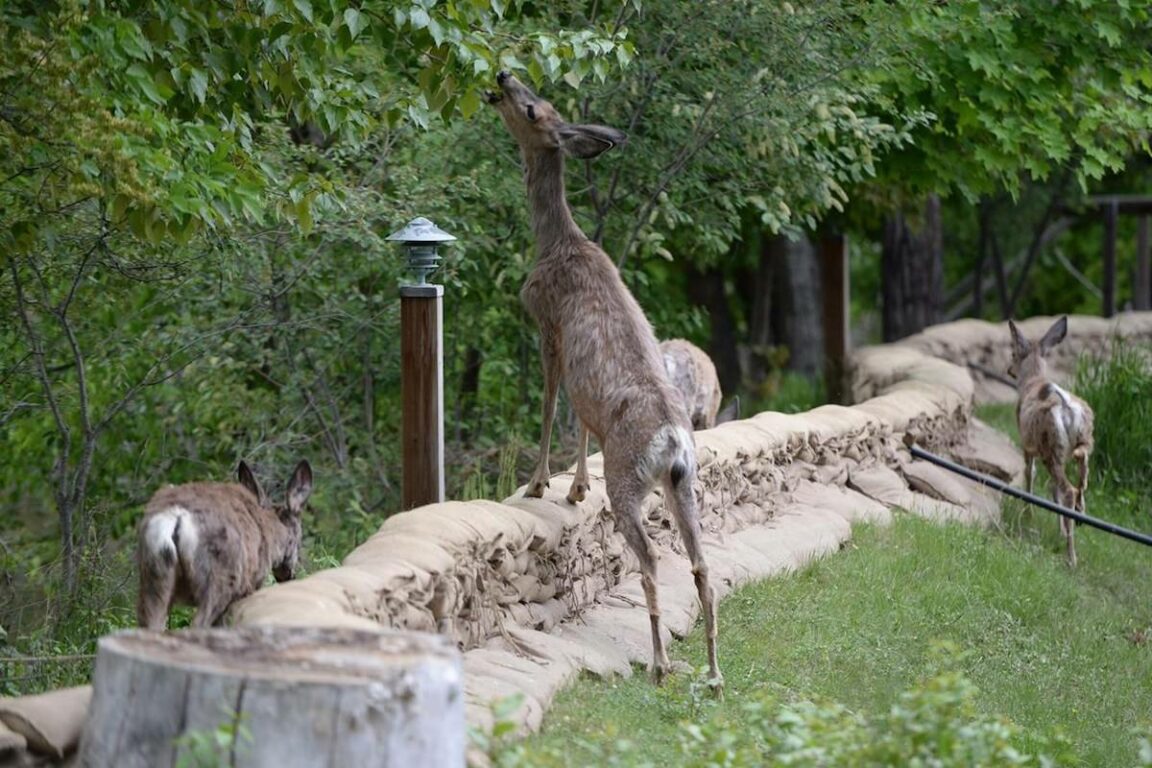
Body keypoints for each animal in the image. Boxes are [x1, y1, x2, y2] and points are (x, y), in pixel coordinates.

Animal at [137, 455, 313, 630]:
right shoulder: (251, 584)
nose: (291, 576)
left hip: (153, 577)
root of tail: (175, 516)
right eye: (298, 541)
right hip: (221, 579)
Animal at [483, 70, 718, 690]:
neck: (558, 242)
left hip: (631, 478)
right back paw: (713, 673)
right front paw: (574, 488)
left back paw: (660, 663)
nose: (503, 75)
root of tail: (673, 441)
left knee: (653, 559)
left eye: (534, 108)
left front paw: (539, 482)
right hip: (685, 485)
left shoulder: (546, 323)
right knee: (702, 562)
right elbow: (579, 413)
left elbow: (548, 403)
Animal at [1009, 315, 1096, 568]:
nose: (1009, 370)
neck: (1034, 381)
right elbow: (1051, 489)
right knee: (1081, 481)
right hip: (1081, 441)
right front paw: (1060, 529)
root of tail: (1067, 405)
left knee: (1067, 490)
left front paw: (1028, 513)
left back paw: (1071, 557)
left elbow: (1030, 474)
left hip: (1050, 448)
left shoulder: (1026, 444)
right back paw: (1079, 516)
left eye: (1013, 353)